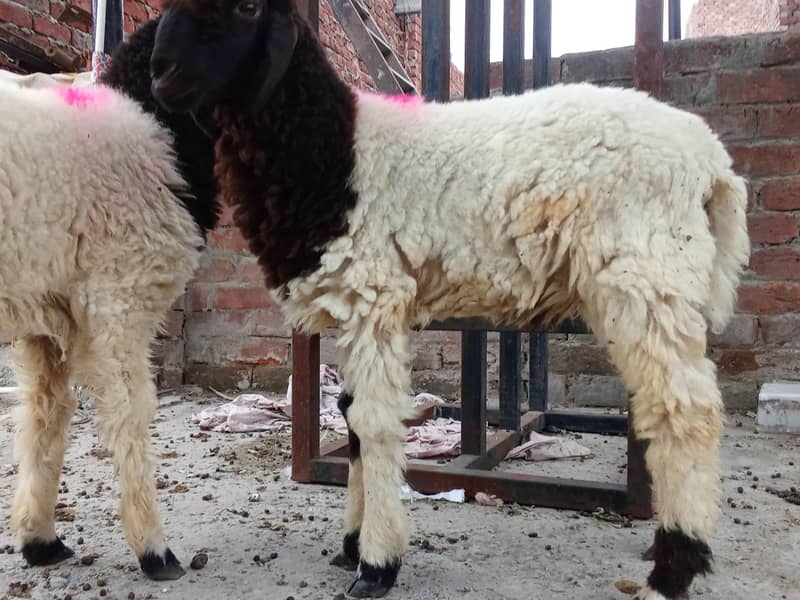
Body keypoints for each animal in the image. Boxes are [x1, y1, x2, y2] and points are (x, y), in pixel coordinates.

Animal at [0, 77, 204, 580]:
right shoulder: (119, 294)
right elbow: (131, 414)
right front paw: (155, 551)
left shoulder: (48, 310)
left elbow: (46, 416)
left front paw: (38, 539)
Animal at [148, 1, 751, 598]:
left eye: (248, 9)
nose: (160, 73)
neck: (330, 149)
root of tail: (712, 163)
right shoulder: (354, 302)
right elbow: (349, 416)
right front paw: (352, 545)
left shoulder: (376, 293)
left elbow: (373, 420)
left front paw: (377, 563)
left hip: (647, 274)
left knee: (686, 411)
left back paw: (673, 569)